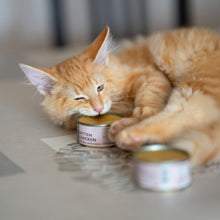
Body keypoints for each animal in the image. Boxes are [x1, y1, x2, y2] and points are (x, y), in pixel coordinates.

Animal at [19, 26, 220, 166]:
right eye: (79, 98)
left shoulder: (151, 75)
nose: (99, 108)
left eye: (99, 87)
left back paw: (128, 132)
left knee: (185, 114)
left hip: (196, 86)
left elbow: (148, 103)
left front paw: (140, 114)